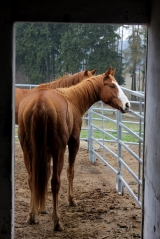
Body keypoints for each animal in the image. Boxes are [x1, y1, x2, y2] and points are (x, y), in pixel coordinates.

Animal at [17, 66, 130, 231]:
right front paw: (71, 200)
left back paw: (32, 216)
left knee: (32, 179)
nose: (127, 105)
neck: (72, 99)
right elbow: (70, 172)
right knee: (55, 182)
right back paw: (57, 222)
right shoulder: (73, 142)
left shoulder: (45, 151)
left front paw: (41, 208)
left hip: (28, 150)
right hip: (59, 150)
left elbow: (43, 175)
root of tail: (40, 102)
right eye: (112, 86)